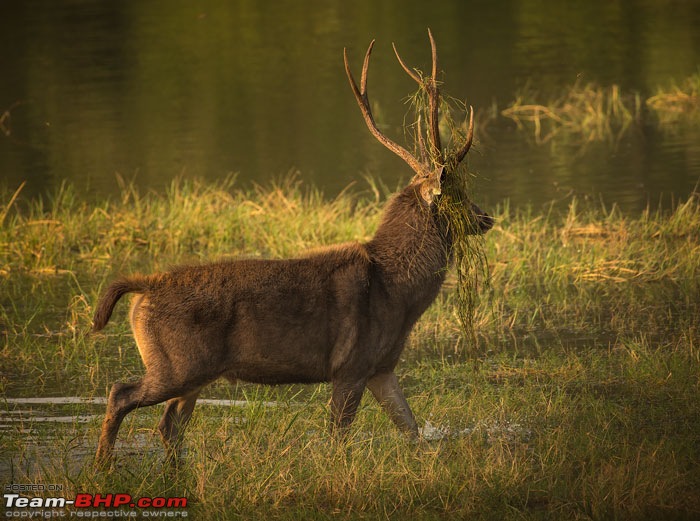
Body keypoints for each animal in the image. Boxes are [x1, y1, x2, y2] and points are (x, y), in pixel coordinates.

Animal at [91, 30, 492, 464]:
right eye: (458, 194)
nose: (486, 218)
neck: (397, 293)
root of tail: (144, 288)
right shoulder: (350, 364)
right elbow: (338, 436)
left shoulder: (382, 367)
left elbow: (412, 429)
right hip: (176, 364)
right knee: (120, 394)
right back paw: (102, 466)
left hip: (192, 373)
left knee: (169, 426)